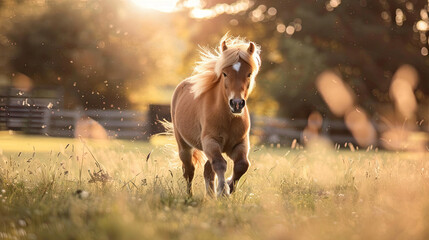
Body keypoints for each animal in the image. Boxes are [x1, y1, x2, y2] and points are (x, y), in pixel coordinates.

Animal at [171, 35, 260, 197]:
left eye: (249, 73)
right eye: (225, 73)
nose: (236, 104)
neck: (228, 118)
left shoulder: (240, 143)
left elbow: (242, 165)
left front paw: (229, 187)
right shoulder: (210, 142)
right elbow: (220, 164)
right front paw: (223, 191)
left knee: (207, 169)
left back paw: (210, 195)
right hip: (184, 146)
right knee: (189, 170)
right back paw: (190, 196)